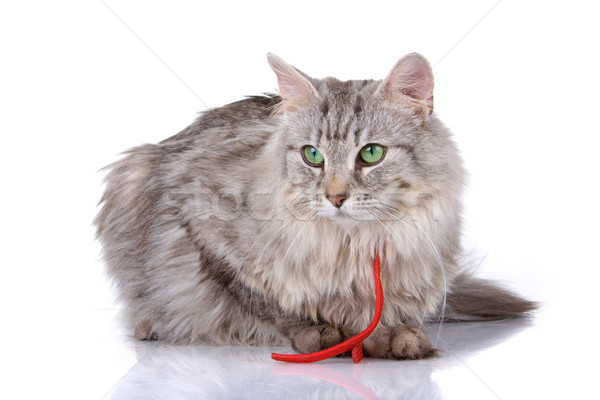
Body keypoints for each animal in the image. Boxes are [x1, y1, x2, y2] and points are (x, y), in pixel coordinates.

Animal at [95, 52, 536, 360]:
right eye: (312, 156)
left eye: (371, 154)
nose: (336, 197)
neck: (352, 246)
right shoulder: (201, 225)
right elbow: (269, 302)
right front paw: (322, 334)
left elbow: (383, 316)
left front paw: (390, 338)